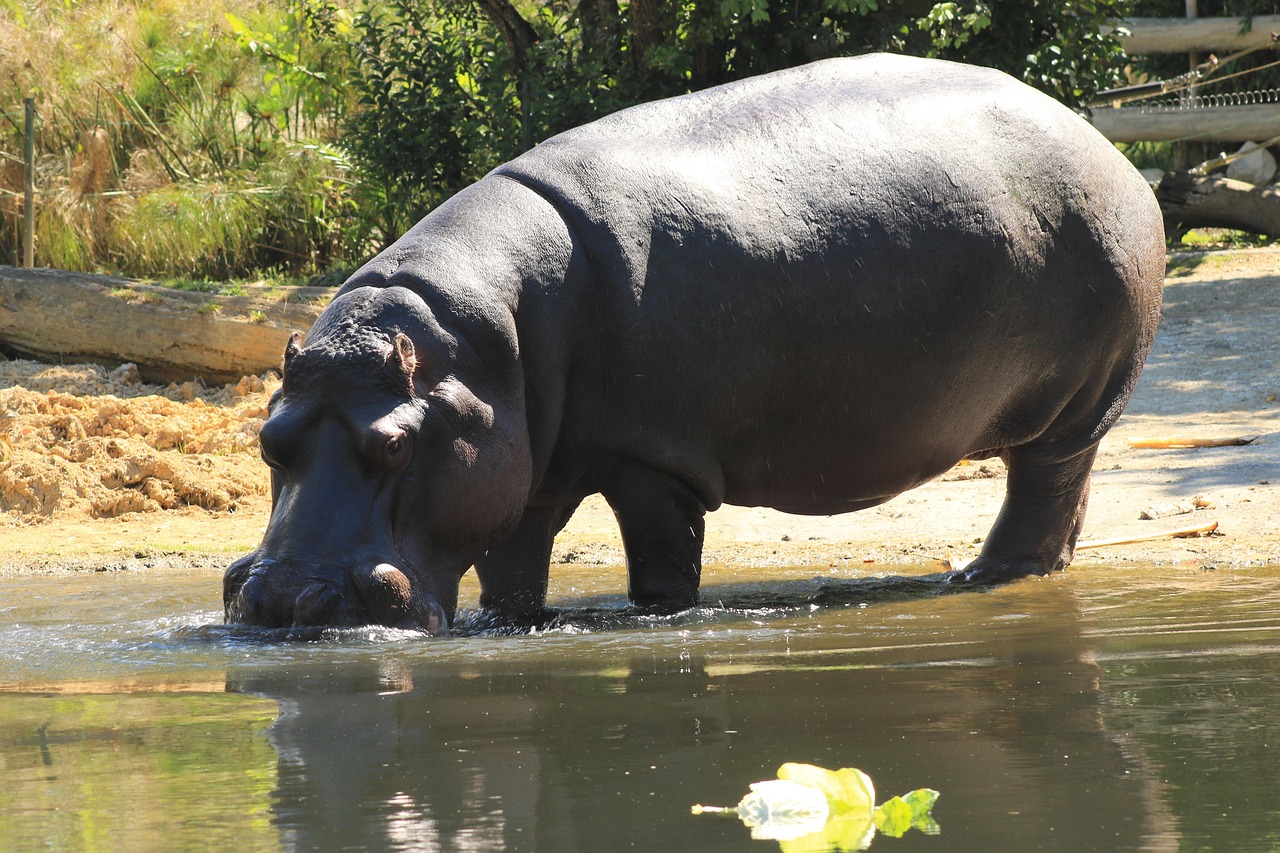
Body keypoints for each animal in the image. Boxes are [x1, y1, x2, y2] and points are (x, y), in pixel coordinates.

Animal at [224, 53, 1165, 633]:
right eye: (267, 440)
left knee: (1044, 483)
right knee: (1063, 496)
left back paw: (982, 576)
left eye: (395, 445)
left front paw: (655, 618)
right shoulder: (519, 460)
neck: (473, 345)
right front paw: (515, 622)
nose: (281, 600)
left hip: (1079, 401)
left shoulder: (653, 460)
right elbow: (510, 564)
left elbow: (662, 563)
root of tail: (1103, 141)